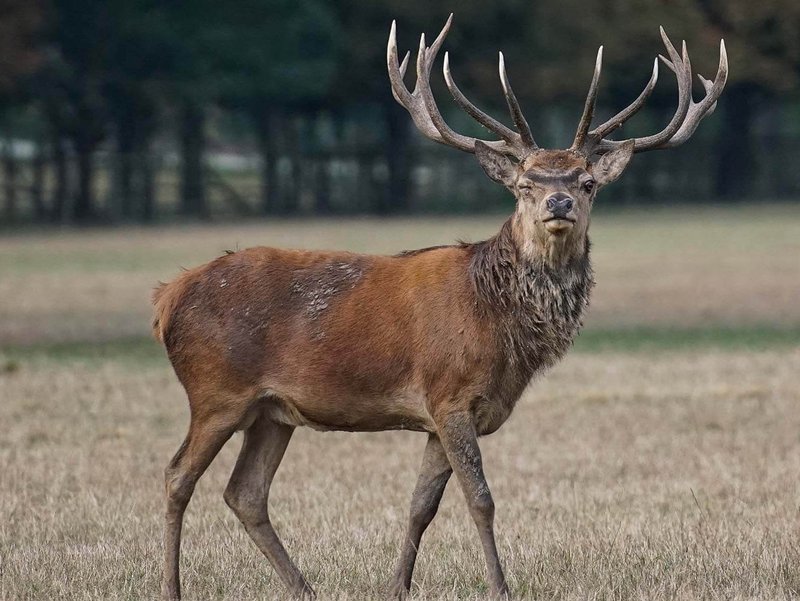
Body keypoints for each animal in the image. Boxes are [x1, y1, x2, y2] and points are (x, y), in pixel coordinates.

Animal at [154, 15, 727, 600]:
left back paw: (304, 589)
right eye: (525, 184)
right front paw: (500, 587)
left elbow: (420, 507)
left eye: (587, 182)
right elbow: (481, 500)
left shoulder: (437, 416)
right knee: (177, 476)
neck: (499, 327)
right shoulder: (450, 394)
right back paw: (173, 587)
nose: (559, 202)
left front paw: (397, 587)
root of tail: (168, 297)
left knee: (244, 492)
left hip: (271, 411)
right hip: (216, 391)